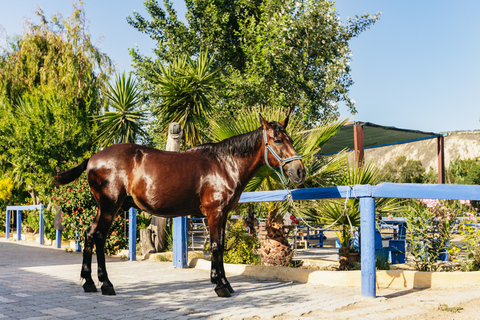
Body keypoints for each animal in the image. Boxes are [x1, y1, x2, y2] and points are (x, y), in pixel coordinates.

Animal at [55, 115, 304, 298]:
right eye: (278, 140)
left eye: (290, 139)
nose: (299, 171)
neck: (225, 164)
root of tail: (93, 158)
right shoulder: (215, 213)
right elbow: (216, 246)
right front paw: (220, 286)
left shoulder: (222, 215)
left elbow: (220, 246)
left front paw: (223, 282)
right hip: (109, 207)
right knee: (99, 237)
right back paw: (106, 284)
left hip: (104, 209)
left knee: (90, 235)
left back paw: (89, 282)